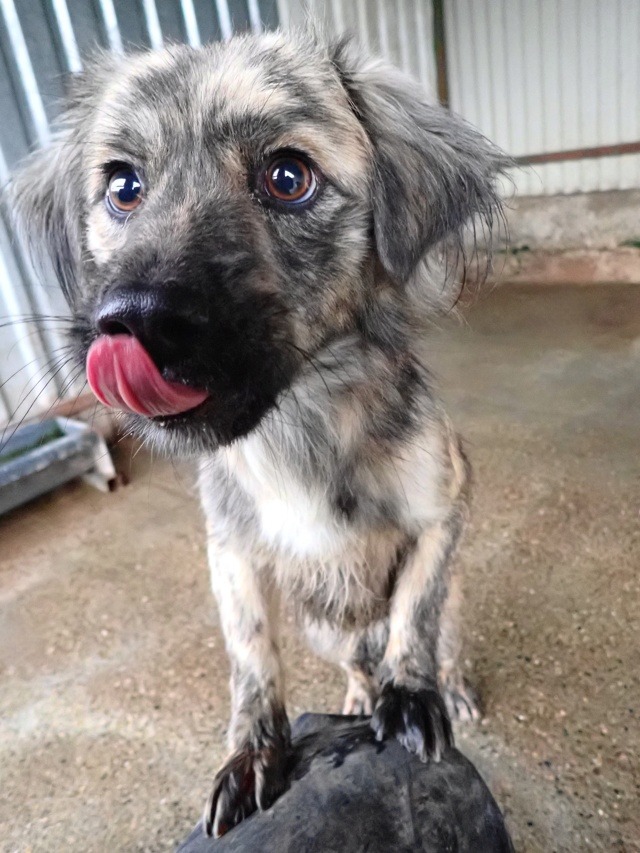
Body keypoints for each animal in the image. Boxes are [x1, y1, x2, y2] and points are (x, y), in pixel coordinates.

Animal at [12, 29, 507, 837]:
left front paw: (411, 695)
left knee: (439, 641)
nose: (131, 320)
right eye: (123, 186)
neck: (298, 428)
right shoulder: (232, 552)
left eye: (287, 176)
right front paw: (252, 752)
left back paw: (441, 688)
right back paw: (359, 694)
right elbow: (250, 658)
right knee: (352, 660)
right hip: (326, 628)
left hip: (455, 605)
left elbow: (413, 614)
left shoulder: (442, 512)